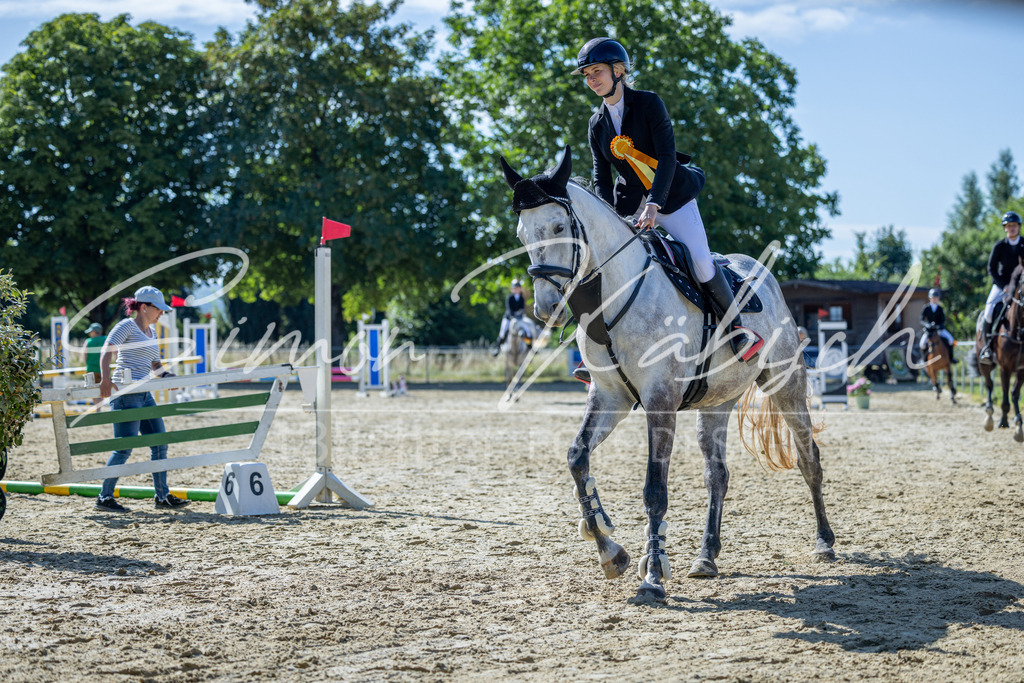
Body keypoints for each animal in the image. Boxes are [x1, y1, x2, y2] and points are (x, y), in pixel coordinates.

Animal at [500, 147, 835, 602]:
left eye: (558, 226)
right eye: (522, 234)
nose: (546, 308)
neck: (615, 294)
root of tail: (760, 274)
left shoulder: (660, 401)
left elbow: (654, 491)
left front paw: (653, 575)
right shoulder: (610, 397)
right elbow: (577, 458)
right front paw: (609, 548)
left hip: (787, 385)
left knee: (808, 458)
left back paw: (824, 543)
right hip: (716, 402)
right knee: (717, 475)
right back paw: (706, 556)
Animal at [976, 265, 1024, 441]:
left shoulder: (1021, 369)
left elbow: (1015, 393)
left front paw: (1018, 425)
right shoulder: (1005, 367)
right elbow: (1004, 397)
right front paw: (1004, 421)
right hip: (983, 363)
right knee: (989, 385)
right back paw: (989, 417)